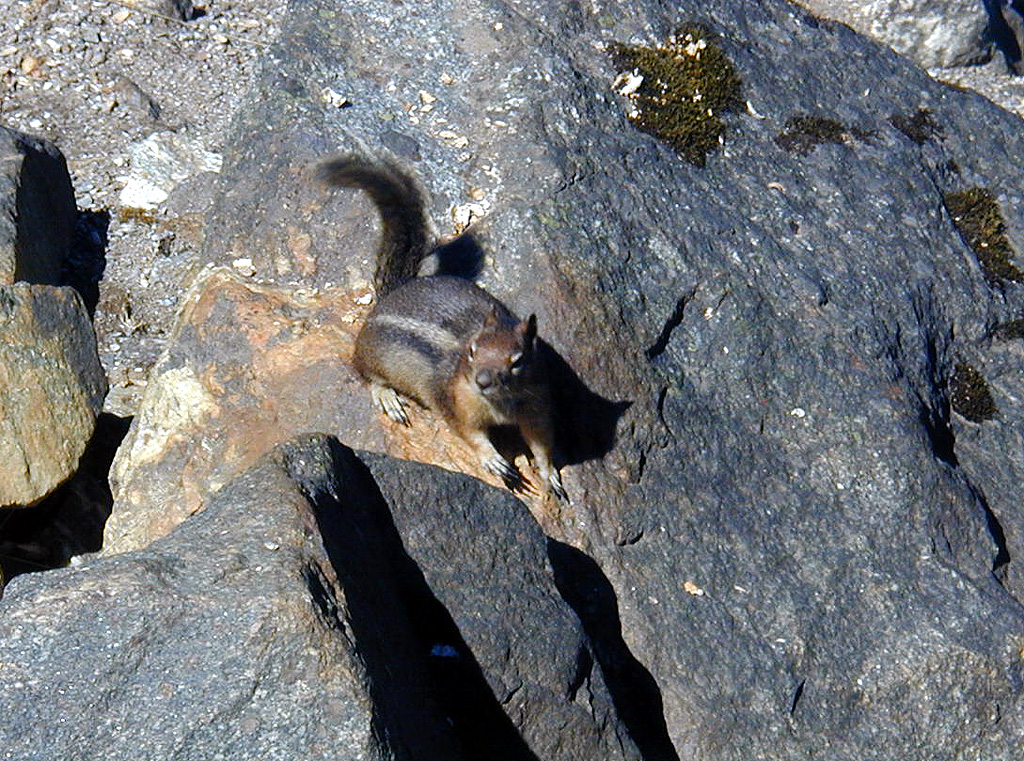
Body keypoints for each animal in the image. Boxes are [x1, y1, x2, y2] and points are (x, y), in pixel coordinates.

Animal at [317, 154, 566, 500]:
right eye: (473, 350)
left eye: (517, 361)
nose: (482, 381)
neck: (500, 404)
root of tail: (393, 293)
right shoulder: (454, 403)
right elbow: (470, 435)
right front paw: (494, 460)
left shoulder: (538, 404)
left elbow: (542, 441)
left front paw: (550, 474)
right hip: (373, 354)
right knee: (364, 372)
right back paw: (389, 399)